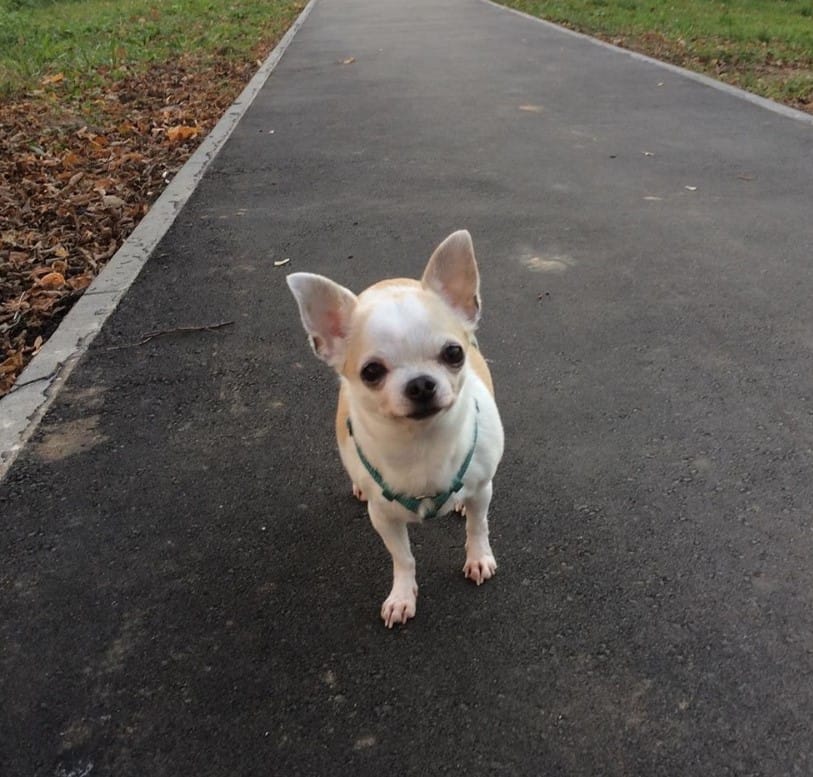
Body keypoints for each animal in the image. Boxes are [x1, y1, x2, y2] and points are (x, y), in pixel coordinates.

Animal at [287, 230, 504, 627]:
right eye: (371, 372)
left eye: (454, 353)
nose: (420, 384)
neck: (423, 443)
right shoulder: (383, 518)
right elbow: (402, 558)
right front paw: (402, 596)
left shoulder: (482, 489)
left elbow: (478, 526)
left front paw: (479, 557)